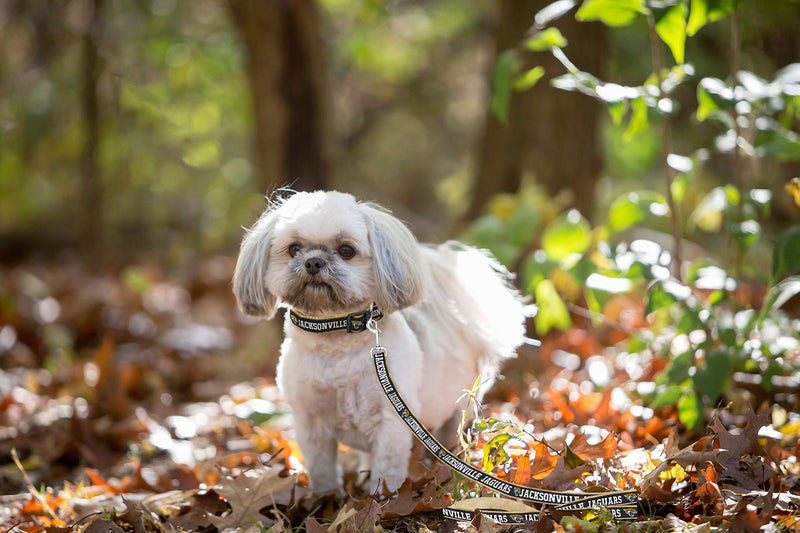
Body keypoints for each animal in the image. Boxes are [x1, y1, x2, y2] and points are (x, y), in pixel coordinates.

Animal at [234, 189, 528, 492]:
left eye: (346, 250)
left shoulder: (392, 420)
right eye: (294, 248)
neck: (335, 341)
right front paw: (326, 497)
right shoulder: (310, 423)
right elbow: (322, 468)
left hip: (459, 406)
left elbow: (386, 469)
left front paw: (382, 497)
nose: (314, 262)